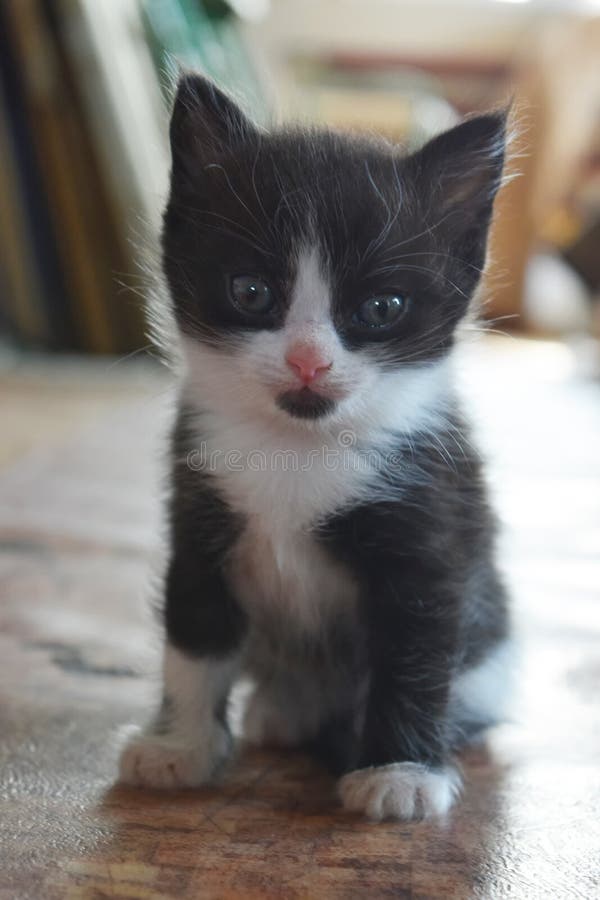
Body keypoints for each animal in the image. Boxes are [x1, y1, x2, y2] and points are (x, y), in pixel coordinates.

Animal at [120, 75, 510, 824]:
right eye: (251, 292)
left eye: (382, 308)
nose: (308, 361)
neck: (298, 446)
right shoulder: (198, 511)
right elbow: (193, 635)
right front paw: (179, 746)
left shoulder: (428, 528)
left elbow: (414, 654)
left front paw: (400, 772)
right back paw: (285, 711)